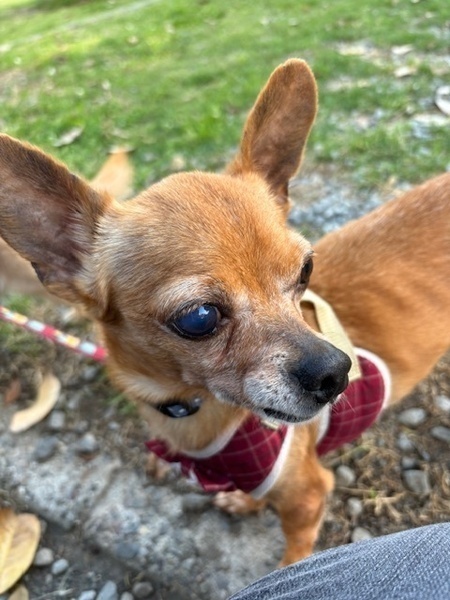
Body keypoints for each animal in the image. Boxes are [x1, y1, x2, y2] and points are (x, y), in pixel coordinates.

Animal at [0, 59, 449, 567]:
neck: (193, 409)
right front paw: (247, 502)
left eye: (305, 270)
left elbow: (295, 553)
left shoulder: (309, 497)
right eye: (199, 318)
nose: (337, 372)